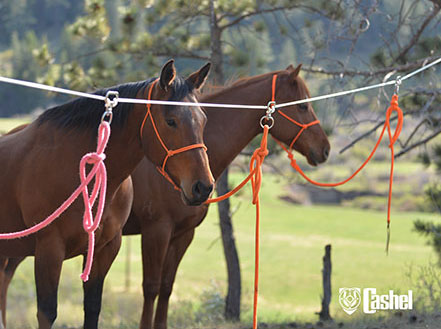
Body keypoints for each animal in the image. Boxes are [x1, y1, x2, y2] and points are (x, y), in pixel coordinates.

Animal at [0, 59, 215, 328]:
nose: (203, 186)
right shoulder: (49, 249)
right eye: (171, 120)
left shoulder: (106, 249)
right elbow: (47, 312)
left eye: (203, 119)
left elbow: (93, 308)